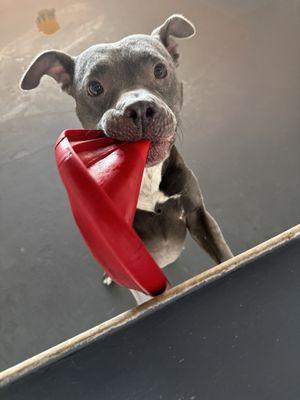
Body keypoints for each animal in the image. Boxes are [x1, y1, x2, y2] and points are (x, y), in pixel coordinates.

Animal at [21, 14, 233, 304]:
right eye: (94, 87)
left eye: (160, 70)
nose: (140, 108)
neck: (144, 174)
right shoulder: (129, 255)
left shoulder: (199, 216)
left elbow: (225, 258)